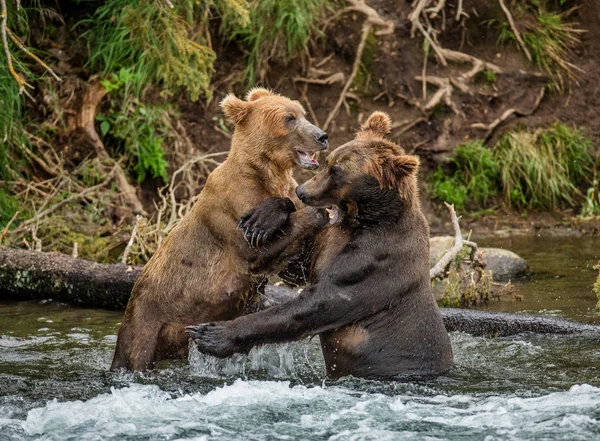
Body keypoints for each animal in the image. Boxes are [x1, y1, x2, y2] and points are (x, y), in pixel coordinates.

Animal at [110, 89, 330, 372]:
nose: (322, 136)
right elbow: (257, 249)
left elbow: (296, 266)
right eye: (289, 118)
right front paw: (272, 219)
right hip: (147, 317)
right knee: (135, 351)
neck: (266, 173)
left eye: (302, 113)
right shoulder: (231, 206)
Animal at [188, 111, 454, 380]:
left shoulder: (373, 260)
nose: (302, 190)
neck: (363, 220)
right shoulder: (331, 240)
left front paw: (211, 334)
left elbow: (317, 303)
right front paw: (263, 218)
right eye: (329, 162)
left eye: (337, 171)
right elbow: (297, 265)